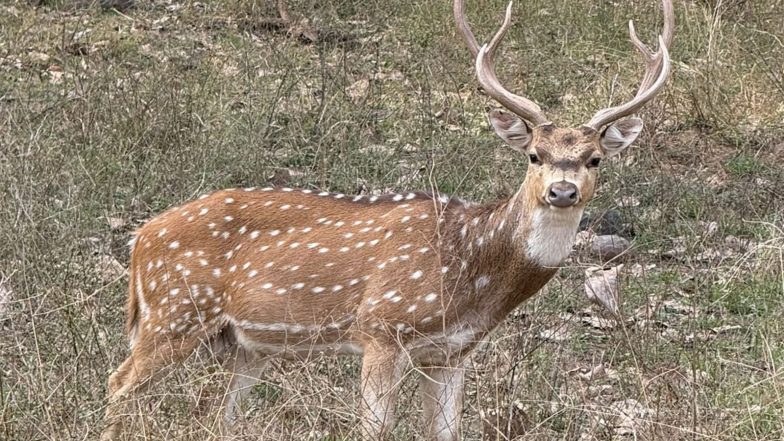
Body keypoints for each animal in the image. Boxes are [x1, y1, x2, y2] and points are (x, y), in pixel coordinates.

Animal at [100, 0, 673, 439]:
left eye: (594, 159)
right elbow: (374, 429)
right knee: (118, 383)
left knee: (218, 416)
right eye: (534, 154)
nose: (562, 191)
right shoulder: (381, 327)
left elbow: (445, 432)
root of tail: (140, 238)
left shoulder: (452, 352)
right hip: (173, 312)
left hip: (241, 344)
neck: (470, 270)